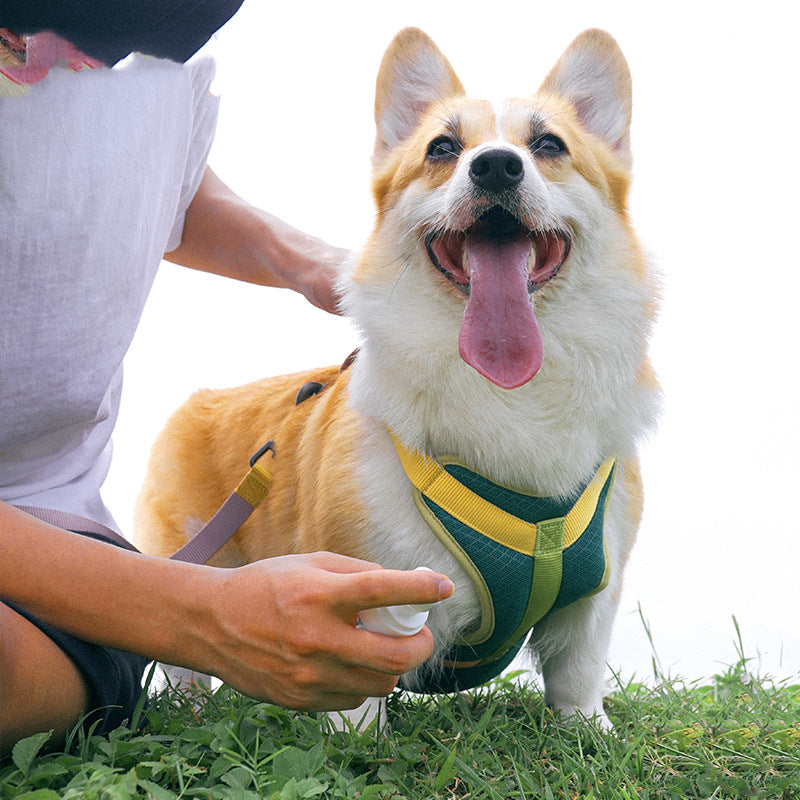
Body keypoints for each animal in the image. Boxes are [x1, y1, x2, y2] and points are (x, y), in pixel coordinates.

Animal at [136, 26, 656, 724]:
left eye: (549, 145)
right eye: (442, 148)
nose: (496, 164)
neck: (508, 395)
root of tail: (201, 397)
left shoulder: (595, 594)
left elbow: (577, 674)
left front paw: (587, 730)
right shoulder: (363, 584)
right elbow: (355, 698)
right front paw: (357, 735)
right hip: (187, 562)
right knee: (184, 646)